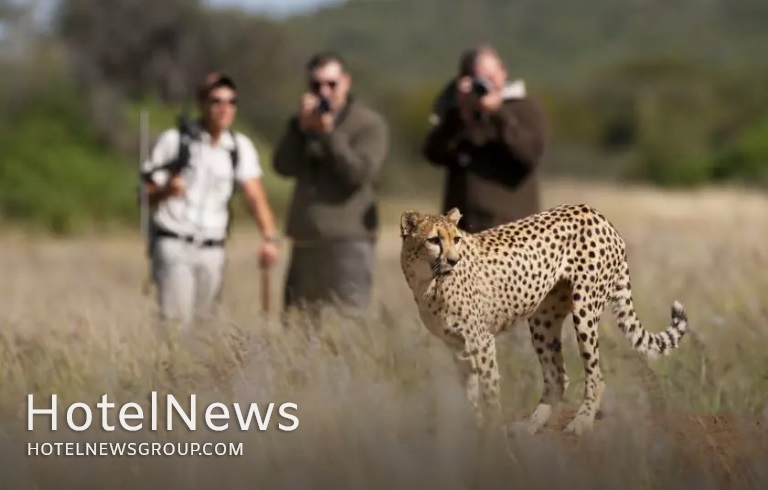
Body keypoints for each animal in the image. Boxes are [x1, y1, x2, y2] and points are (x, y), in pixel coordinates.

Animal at [400, 203, 688, 440]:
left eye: (456, 239)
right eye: (434, 240)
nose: (453, 260)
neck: (428, 281)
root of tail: (596, 213)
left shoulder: (481, 341)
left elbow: (490, 393)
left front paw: (494, 434)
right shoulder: (457, 346)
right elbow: (470, 394)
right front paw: (477, 431)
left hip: (584, 309)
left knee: (596, 375)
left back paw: (581, 423)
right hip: (543, 319)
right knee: (558, 377)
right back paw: (530, 425)